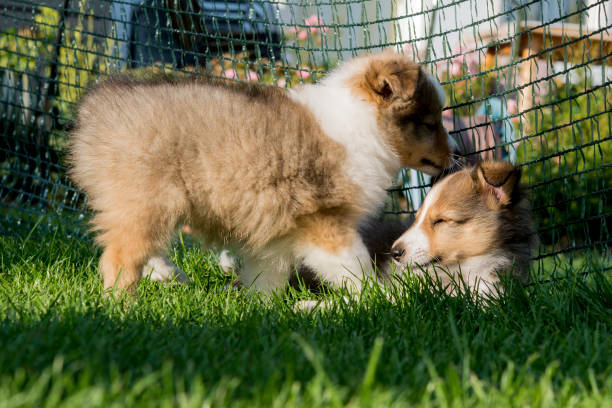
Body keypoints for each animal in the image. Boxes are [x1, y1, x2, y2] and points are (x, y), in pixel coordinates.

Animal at [70, 51, 454, 294]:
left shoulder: (276, 235)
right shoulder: (324, 220)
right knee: (119, 258)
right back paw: (122, 307)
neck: (363, 124)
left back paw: (167, 274)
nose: (452, 158)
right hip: (149, 199)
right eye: (429, 123)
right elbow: (354, 268)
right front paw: (382, 300)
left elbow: (267, 278)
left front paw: (260, 311)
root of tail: (95, 107)